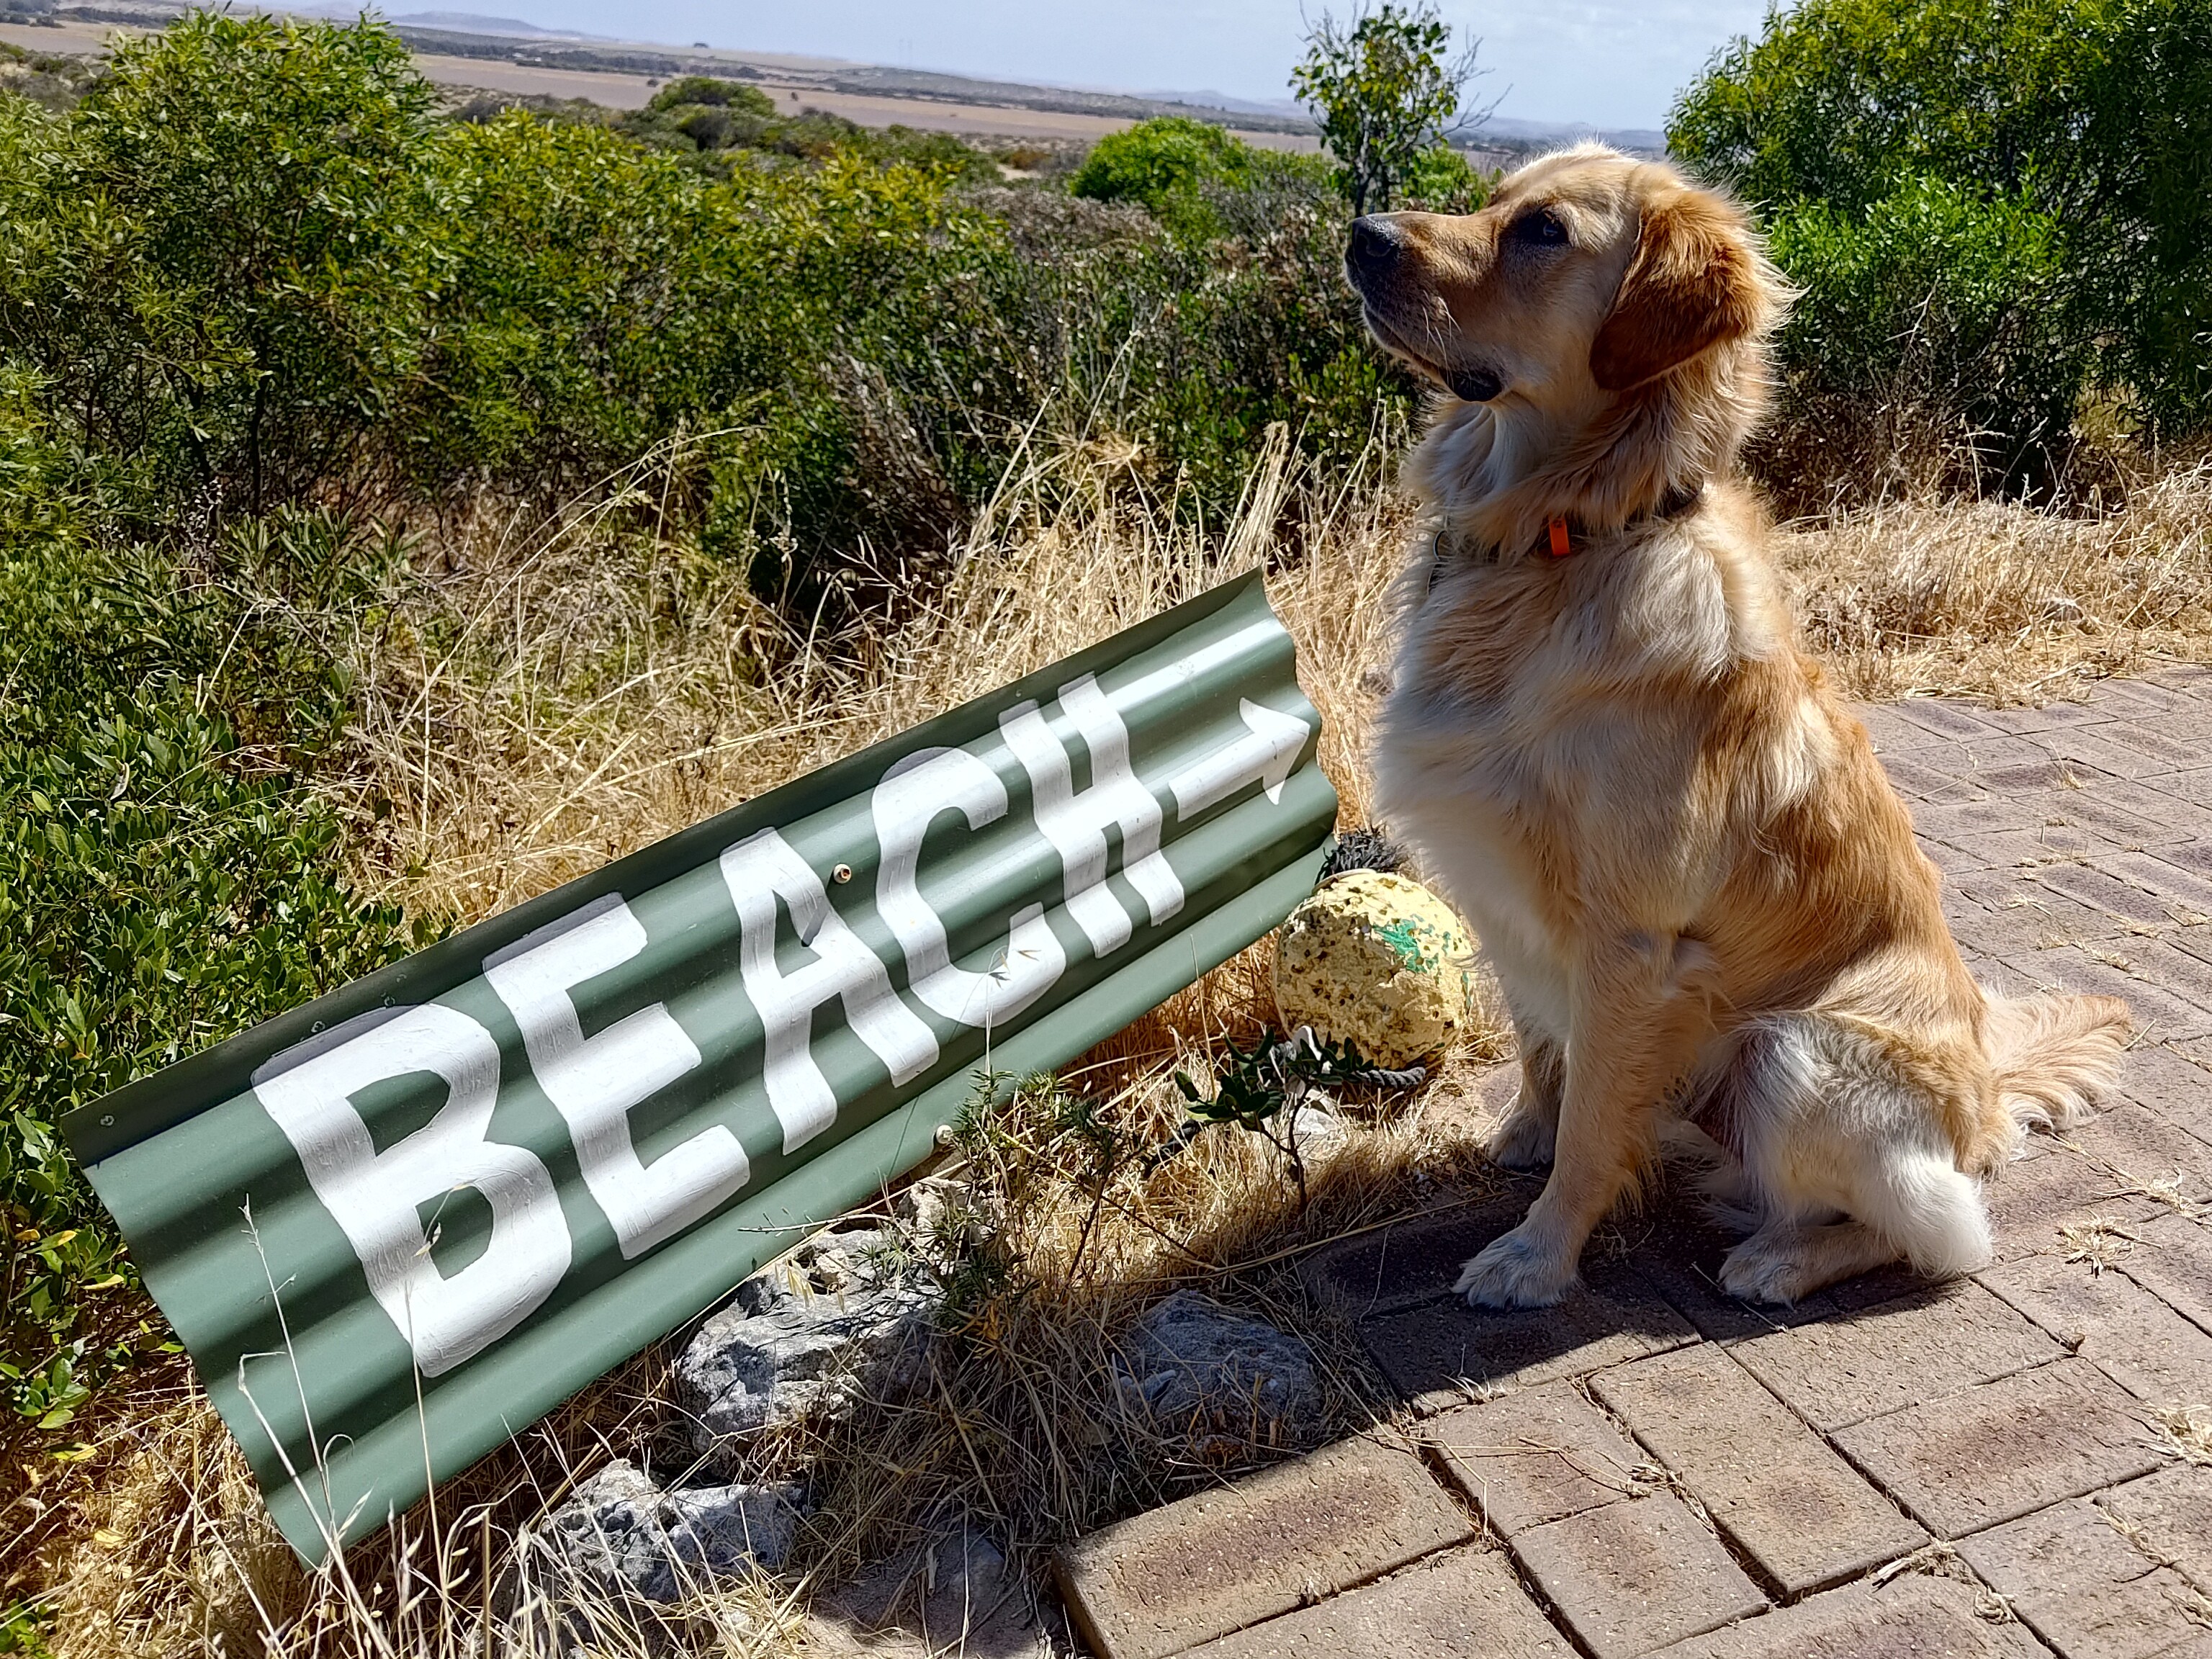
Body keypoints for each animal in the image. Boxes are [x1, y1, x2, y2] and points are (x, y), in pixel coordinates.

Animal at [1336, 145, 2132, 1309]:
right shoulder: (1505, 897)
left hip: (1790, 1054)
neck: (1568, 538)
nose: (1364, 237)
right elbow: (1544, 1056)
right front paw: (1525, 1134)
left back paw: (1779, 1259)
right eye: (1492, 201)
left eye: (1542, 233)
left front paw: (1538, 1254)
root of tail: (1985, 1093)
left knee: (1945, 1237)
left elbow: (1593, 1127)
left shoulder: (1630, 940)